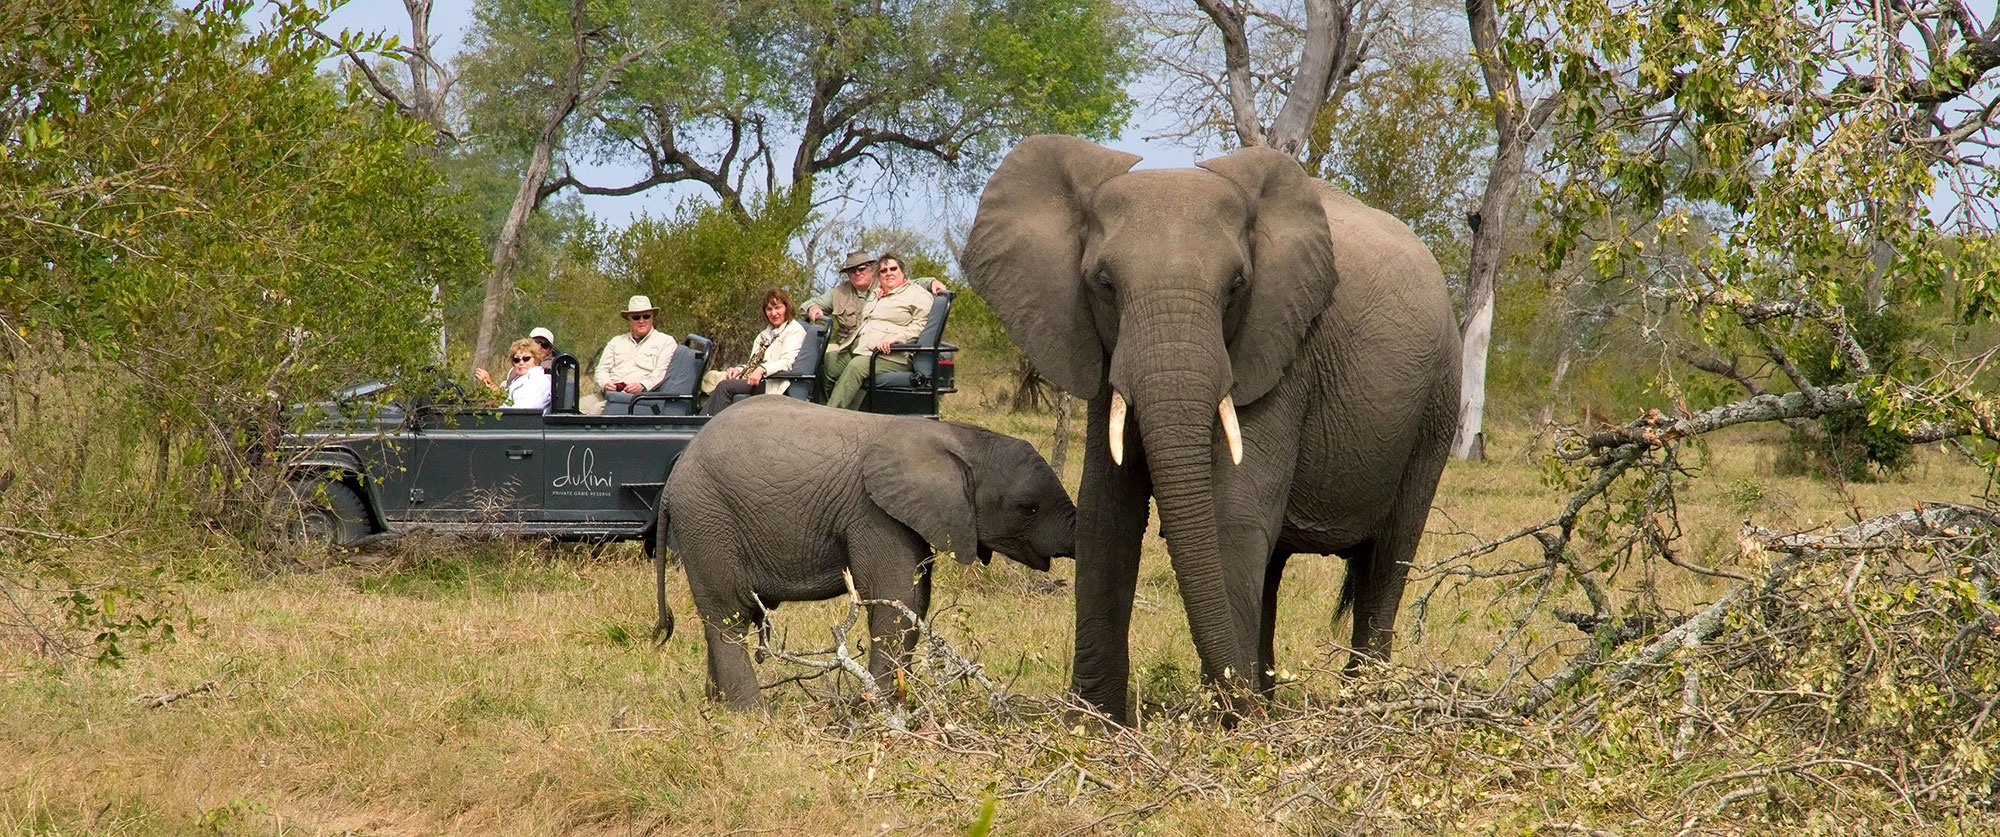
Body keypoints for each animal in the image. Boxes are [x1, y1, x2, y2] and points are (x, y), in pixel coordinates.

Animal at [652, 396, 1080, 708]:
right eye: (1028, 508)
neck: (961, 438)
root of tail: (672, 482)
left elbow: (916, 601)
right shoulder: (872, 513)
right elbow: (895, 600)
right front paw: (876, 709)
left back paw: (716, 707)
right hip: (708, 519)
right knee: (729, 617)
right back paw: (752, 715)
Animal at [960, 134, 1464, 720]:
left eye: (1236, 285)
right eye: (1104, 284)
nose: (1236, 706)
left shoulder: (1281, 349)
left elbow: (1231, 516)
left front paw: (1229, 724)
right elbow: (1107, 512)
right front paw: (1094, 723)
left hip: (1438, 400)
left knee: (1389, 554)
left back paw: (1355, 705)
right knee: (1277, 563)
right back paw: (1269, 700)